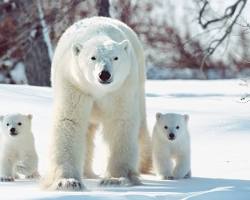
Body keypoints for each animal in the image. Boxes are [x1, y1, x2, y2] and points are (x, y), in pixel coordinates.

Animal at [42, 16, 150, 191]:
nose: (104, 74)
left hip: (139, 81)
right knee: (87, 131)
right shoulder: (74, 83)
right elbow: (70, 121)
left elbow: (121, 122)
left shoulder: (121, 88)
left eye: (116, 58)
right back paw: (86, 172)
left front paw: (116, 179)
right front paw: (67, 181)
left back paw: (144, 165)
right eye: (92, 58)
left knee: (140, 124)